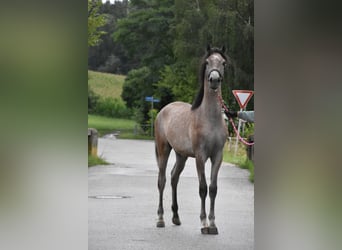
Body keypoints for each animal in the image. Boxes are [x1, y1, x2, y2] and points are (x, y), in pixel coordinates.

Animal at [154, 45, 227, 234]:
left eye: (223, 62)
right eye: (207, 62)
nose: (214, 80)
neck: (210, 119)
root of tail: (163, 110)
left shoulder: (217, 156)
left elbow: (213, 188)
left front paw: (213, 224)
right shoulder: (200, 157)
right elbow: (202, 188)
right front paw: (204, 224)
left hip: (182, 155)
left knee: (174, 178)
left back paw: (176, 217)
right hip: (164, 150)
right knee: (162, 180)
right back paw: (160, 219)